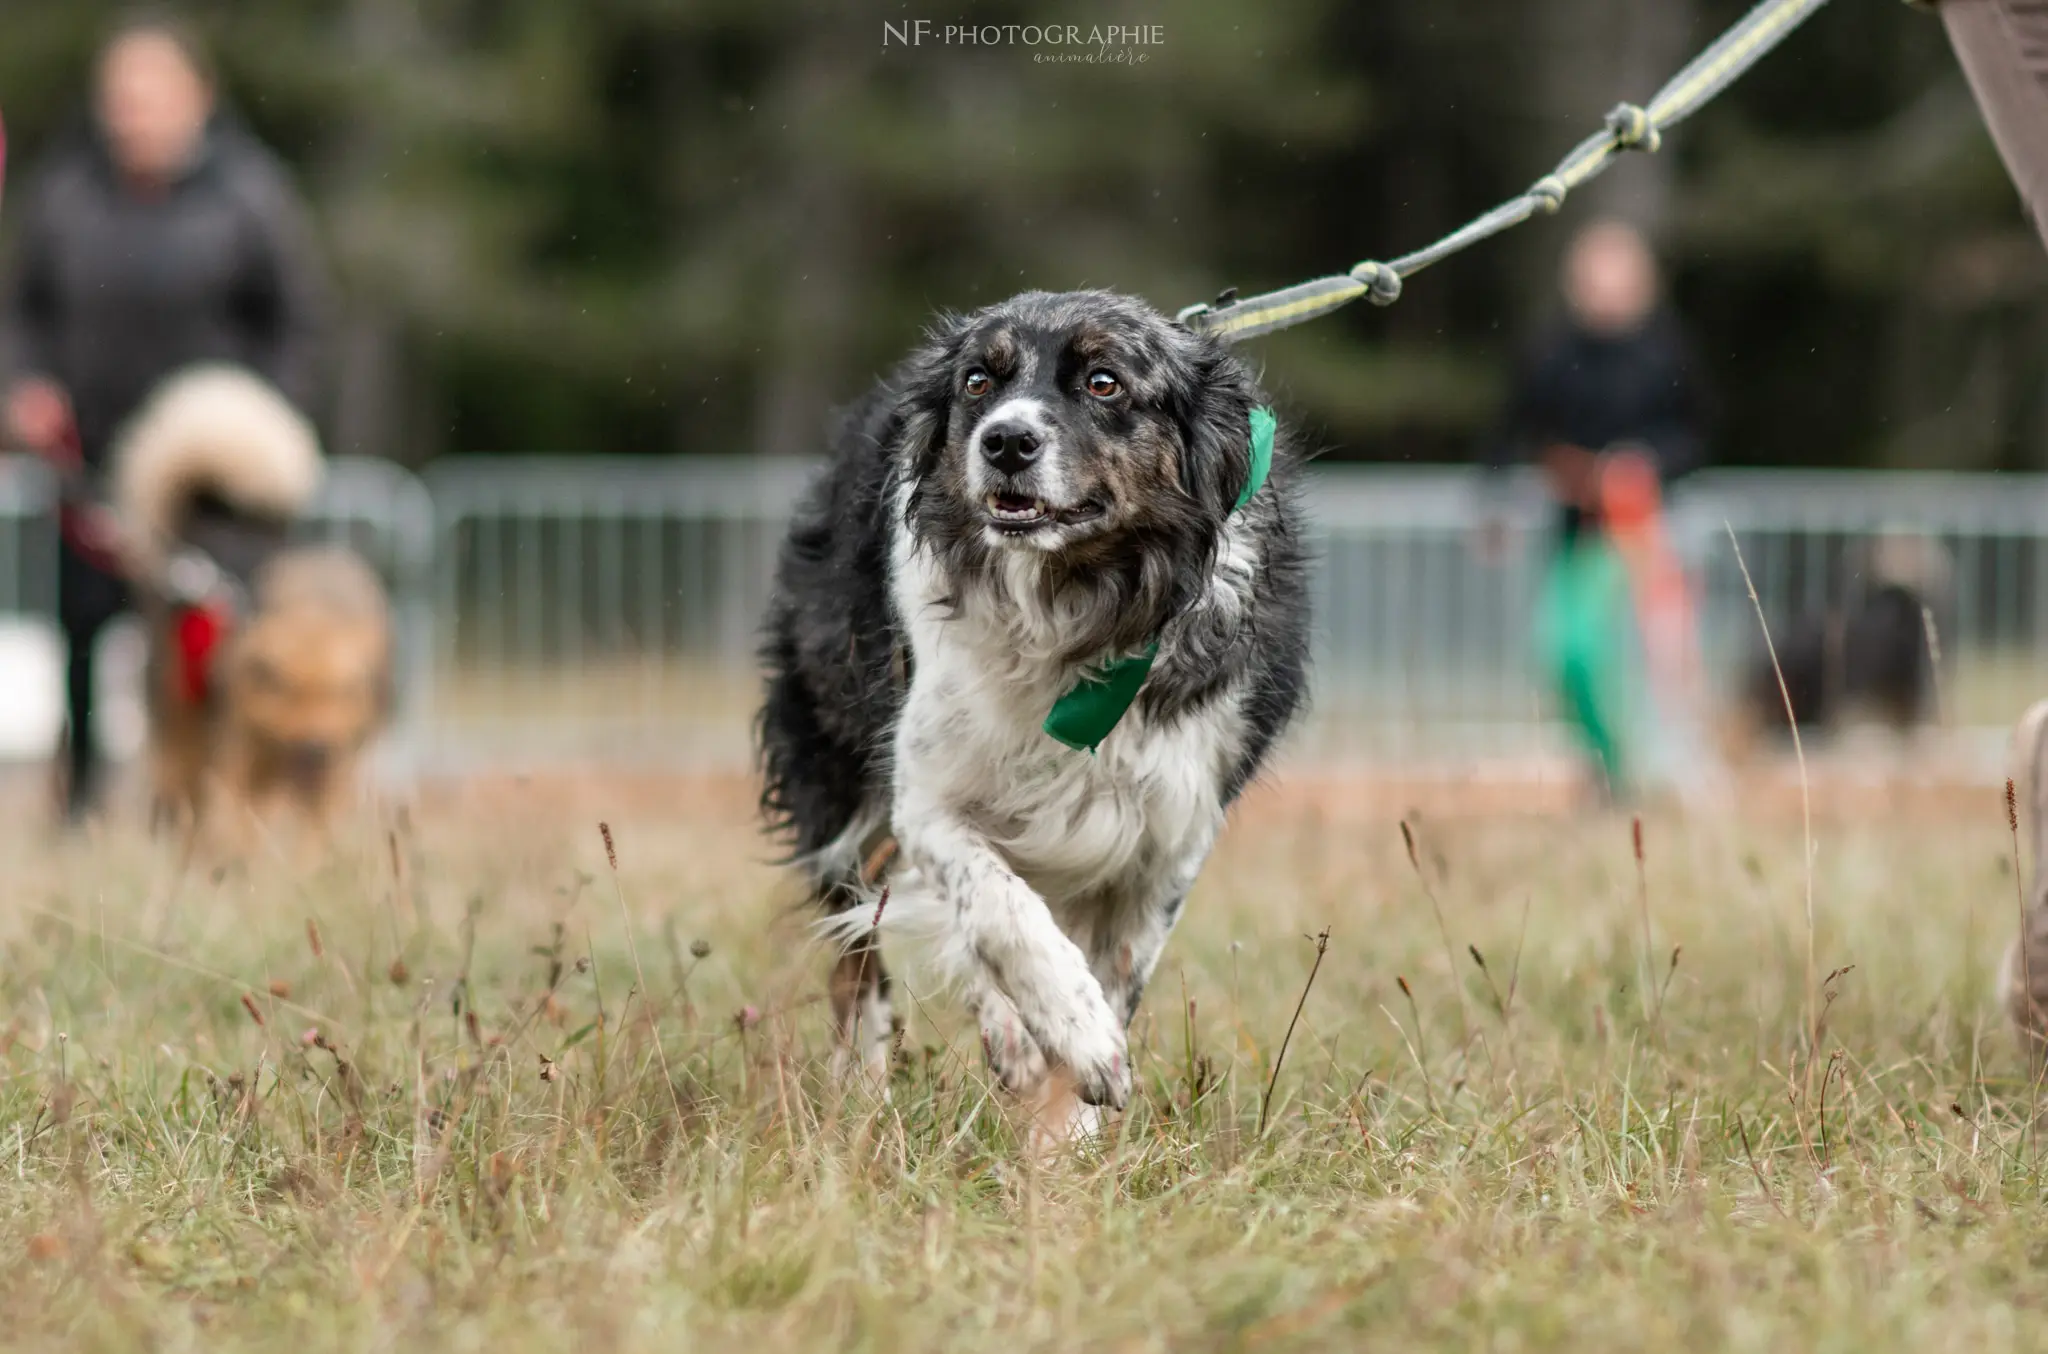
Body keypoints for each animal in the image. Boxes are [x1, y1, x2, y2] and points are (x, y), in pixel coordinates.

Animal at [757, 290, 1310, 1138]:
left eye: (1105, 382)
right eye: (979, 380)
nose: (1006, 440)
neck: (1073, 603)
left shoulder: (1168, 834)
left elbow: (1115, 970)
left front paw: (1064, 1138)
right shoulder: (925, 798)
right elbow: (999, 910)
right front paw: (1078, 1037)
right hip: (833, 775)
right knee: (865, 956)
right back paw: (871, 1088)